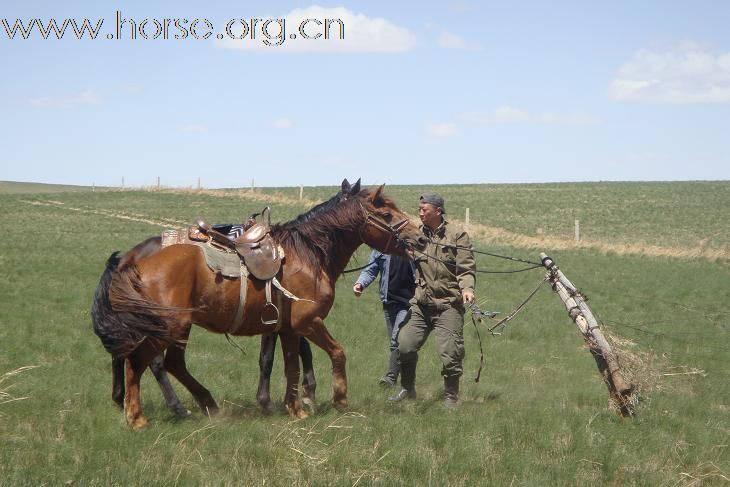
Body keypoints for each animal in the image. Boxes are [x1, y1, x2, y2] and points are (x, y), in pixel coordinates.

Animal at [94, 182, 424, 428]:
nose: (420, 238)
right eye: (387, 214)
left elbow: (288, 365)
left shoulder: (287, 328)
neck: (307, 255)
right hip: (170, 326)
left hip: (176, 328)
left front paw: (294, 407)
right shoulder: (307, 323)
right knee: (142, 361)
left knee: (166, 363)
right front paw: (338, 399)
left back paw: (204, 404)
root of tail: (133, 262)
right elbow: (336, 353)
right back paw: (140, 416)